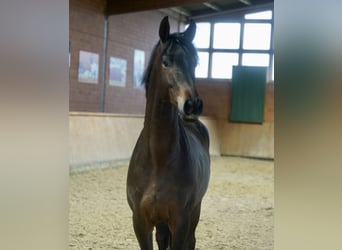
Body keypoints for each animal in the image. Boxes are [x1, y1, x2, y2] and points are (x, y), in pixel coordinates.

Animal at [127, 16, 210, 250]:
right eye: (166, 62)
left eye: (195, 62)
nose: (193, 105)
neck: (158, 160)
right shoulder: (140, 222)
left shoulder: (180, 221)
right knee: (163, 238)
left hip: (195, 211)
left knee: (191, 241)